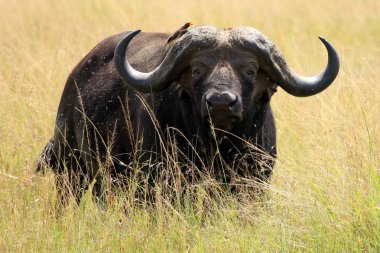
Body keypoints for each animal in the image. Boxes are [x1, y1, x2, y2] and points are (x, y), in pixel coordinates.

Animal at [37, 23, 340, 206]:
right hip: (70, 169)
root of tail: (76, 76)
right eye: (197, 69)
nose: (220, 103)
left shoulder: (255, 184)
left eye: (250, 70)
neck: (217, 148)